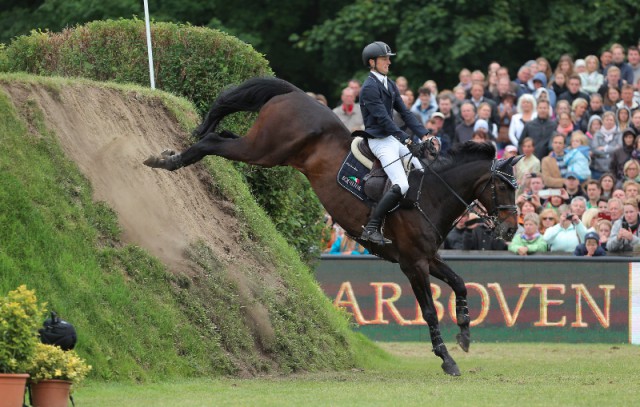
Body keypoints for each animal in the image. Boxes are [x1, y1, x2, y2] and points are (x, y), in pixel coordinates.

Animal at [144, 76, 520, 376]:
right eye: (503, 187)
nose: (511, 231)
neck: (431, 194)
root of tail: (295, 94)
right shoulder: (413, 263)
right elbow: (428, 311)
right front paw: (447, 359)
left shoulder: (429, 258)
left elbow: (460, 284)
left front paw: (465, 332)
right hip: (263, 150)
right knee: (213, 143)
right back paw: (167, 162)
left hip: (264, 148)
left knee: (221, 136)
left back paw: (170, 158)